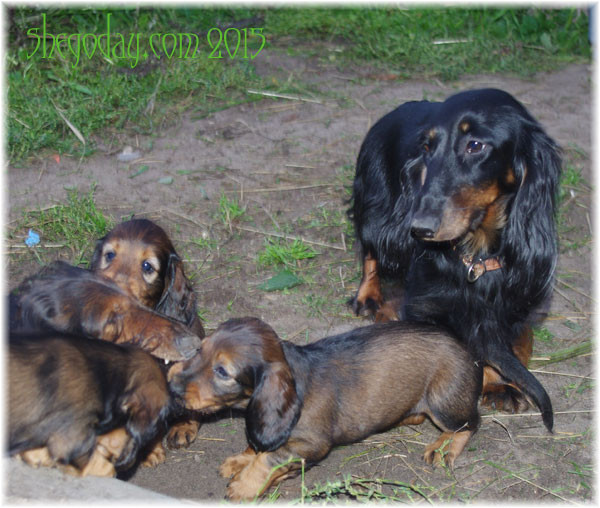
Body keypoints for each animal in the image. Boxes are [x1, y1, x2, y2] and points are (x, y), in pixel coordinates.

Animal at [170, 318, 482, 500]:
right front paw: (238, 461)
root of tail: (469, 351)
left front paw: (244, 486)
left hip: (444, 402)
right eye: (199, 349)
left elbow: (267, 459)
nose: (171, 386)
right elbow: (258, 447)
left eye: (222, 371)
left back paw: (443, 448)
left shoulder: (312, 443)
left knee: (469, 423)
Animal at [346, 88, 556, 428]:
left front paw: (498, 384)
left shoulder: (510, 308)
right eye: (427, 147)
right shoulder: (425, 306)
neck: (474, 257)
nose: (419, 228)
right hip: (374, 200)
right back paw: (369, 296)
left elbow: (502, 343)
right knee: (371, 249)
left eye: (475, 145)